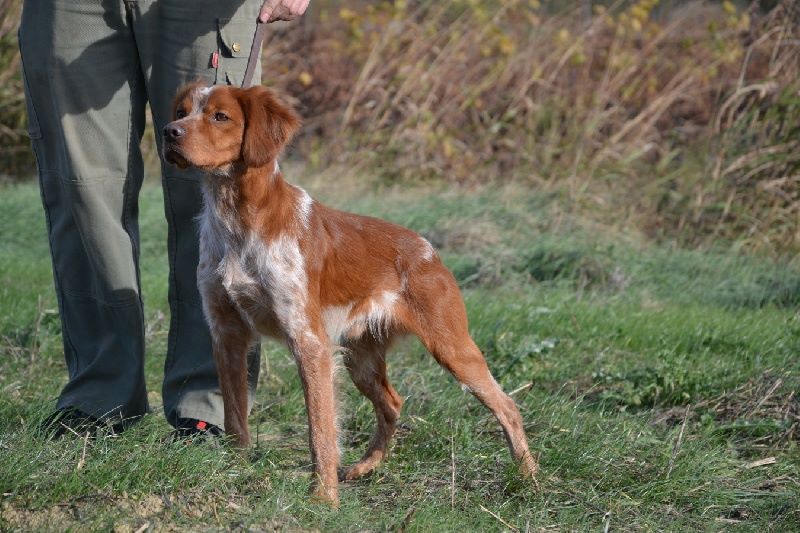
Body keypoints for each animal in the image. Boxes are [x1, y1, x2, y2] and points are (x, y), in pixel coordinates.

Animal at [162, 84, 536, 508]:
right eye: (181, 111)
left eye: (220, 116)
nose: (169, 132)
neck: (237, 220)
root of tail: (427, 249)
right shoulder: (228, 334)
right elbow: (235, 416)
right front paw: (238, 469)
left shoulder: (309, 342)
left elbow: (320, 430)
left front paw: (323, 497)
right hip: (361, 358)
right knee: (392, 404)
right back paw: (365, 466)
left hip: (452, 348)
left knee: (507, 406)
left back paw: (528, 478)